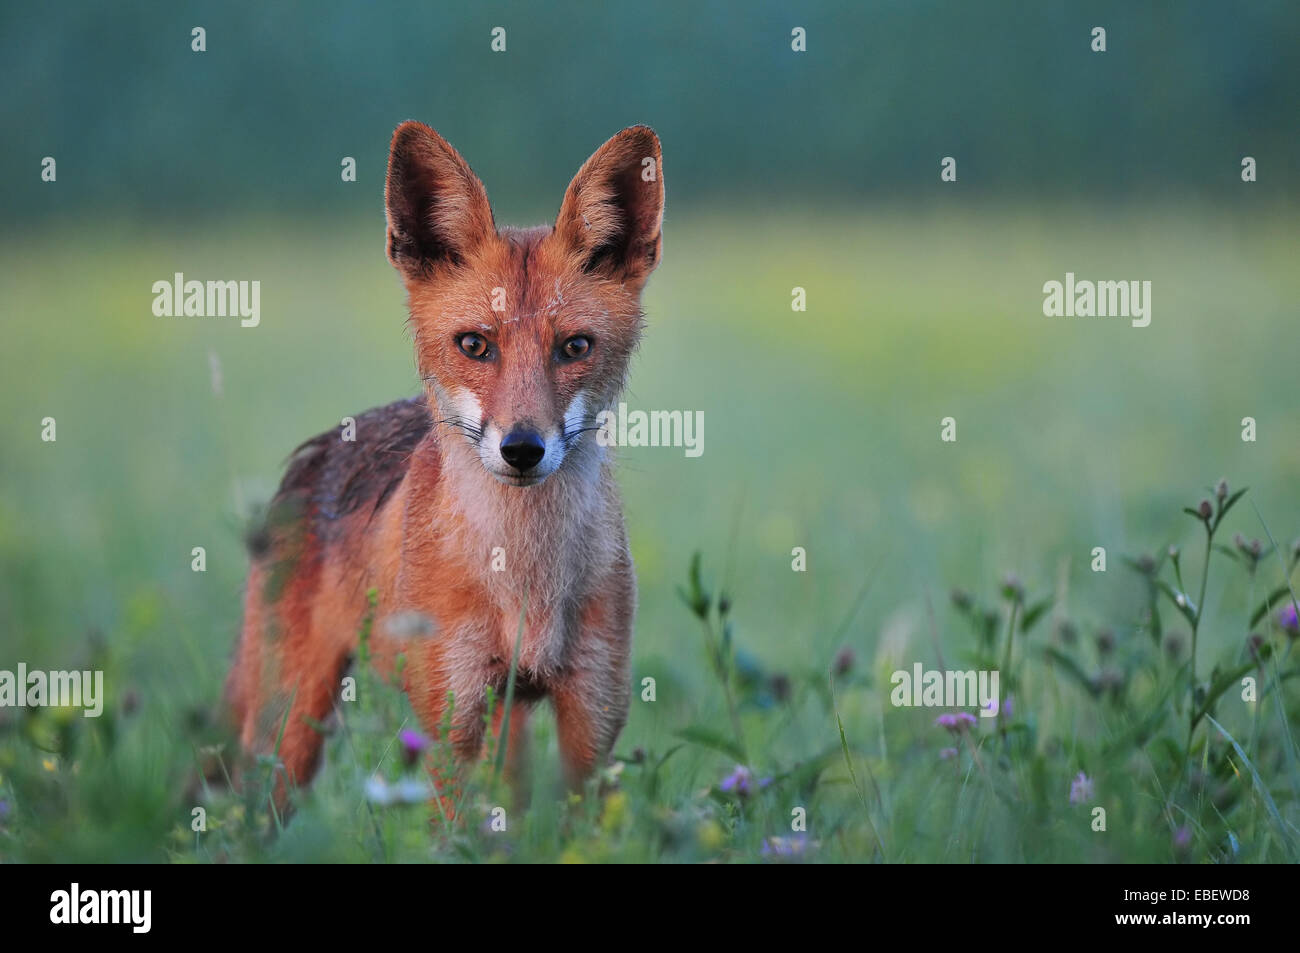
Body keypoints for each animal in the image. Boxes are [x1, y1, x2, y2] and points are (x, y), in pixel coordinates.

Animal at [223, 122, 664, 810]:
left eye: (575, 347)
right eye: (475, 345)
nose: (522, 449)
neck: (525, 581)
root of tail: (312, 453)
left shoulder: (592, 722)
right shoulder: (449, 724)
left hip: (505, 727)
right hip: (290, 732)